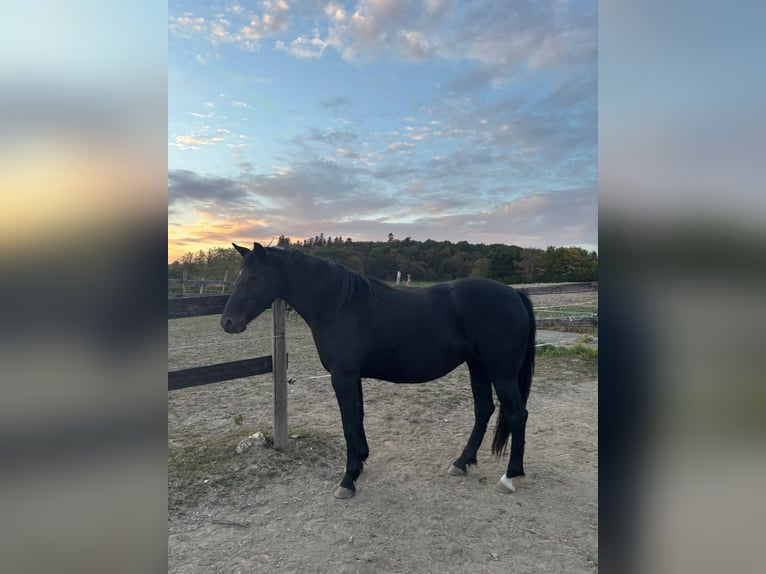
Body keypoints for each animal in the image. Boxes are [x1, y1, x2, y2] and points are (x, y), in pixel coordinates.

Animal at [221, 242, 536, 499]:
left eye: (253, 278)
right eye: (238, 276)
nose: (227, 322)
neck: (338, 305)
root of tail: (515, 294)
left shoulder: (343, 376)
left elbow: (349, 423)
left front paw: (347, 480)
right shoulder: (352, 377)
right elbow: (357, 418)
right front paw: (360, 462)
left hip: (502, 373)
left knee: (517, 414)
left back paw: (509, 476)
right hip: (478, 367)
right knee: (483, 410)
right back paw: (462, 462)